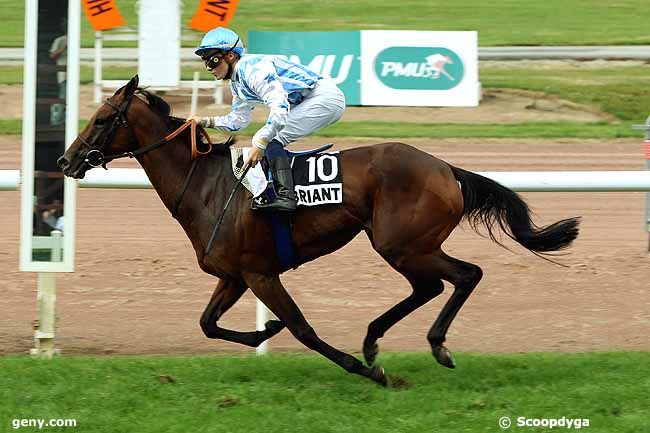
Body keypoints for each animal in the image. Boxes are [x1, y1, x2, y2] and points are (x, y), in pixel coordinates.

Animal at [58, 75, 580, 384]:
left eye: (102, 119)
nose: (66, 161)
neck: (206, 186)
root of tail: (445, 168)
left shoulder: (261, 274)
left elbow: (302, 328)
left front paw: (365, 372)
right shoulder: (234, 275)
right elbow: (208, 324)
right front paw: (264, 330)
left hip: (402, 243)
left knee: (463, 275)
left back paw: (428, 348)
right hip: (403, 246)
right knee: (432, 286)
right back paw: (374, 340)